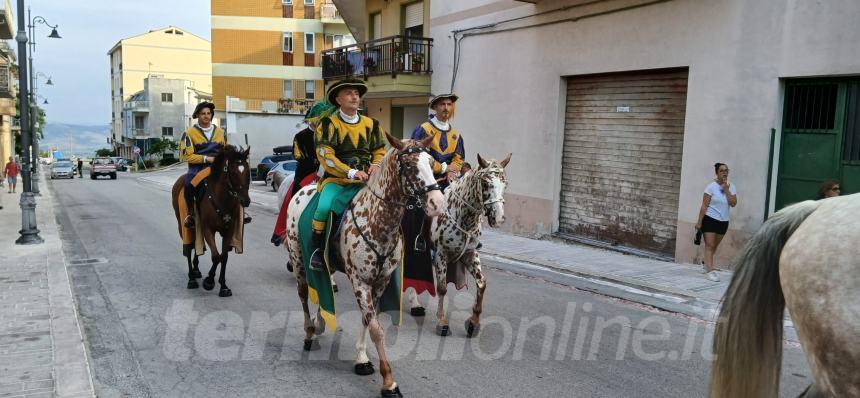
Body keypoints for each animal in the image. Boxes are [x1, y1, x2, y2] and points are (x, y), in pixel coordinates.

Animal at [168, 145, 249, 296]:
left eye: (247, 170)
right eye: (233, 172)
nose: (245, 201)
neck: (221, 198)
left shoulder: (228, 230)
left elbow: (224, 257)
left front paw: (223, 286)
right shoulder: (207, 229)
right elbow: (216, 257)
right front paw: (209, 281)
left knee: (196, 245)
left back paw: (196, 270)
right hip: (183, 225)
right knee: (189, 248)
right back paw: (191, 279)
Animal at [284, 132, 444, 396]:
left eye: (431, 164)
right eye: (410, 165)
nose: (437, 203)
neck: (376, 219)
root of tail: (304, 190)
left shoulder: (379, 281)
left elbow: (368, 320)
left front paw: (361, 358)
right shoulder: (360, 281)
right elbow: (377, 328)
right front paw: (389, 381)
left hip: (327, 265)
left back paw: (320, 323)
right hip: (298, 261)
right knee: (303, 294)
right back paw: (309, 333)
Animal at [412, 152, 510, 336]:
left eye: (505, 184)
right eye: (486, 183)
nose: (499, 218)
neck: (462, 215)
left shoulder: (470, 254)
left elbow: (482, 284)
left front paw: (474, 322)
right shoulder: (441, 255)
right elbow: (442, 288)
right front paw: (442, 322)